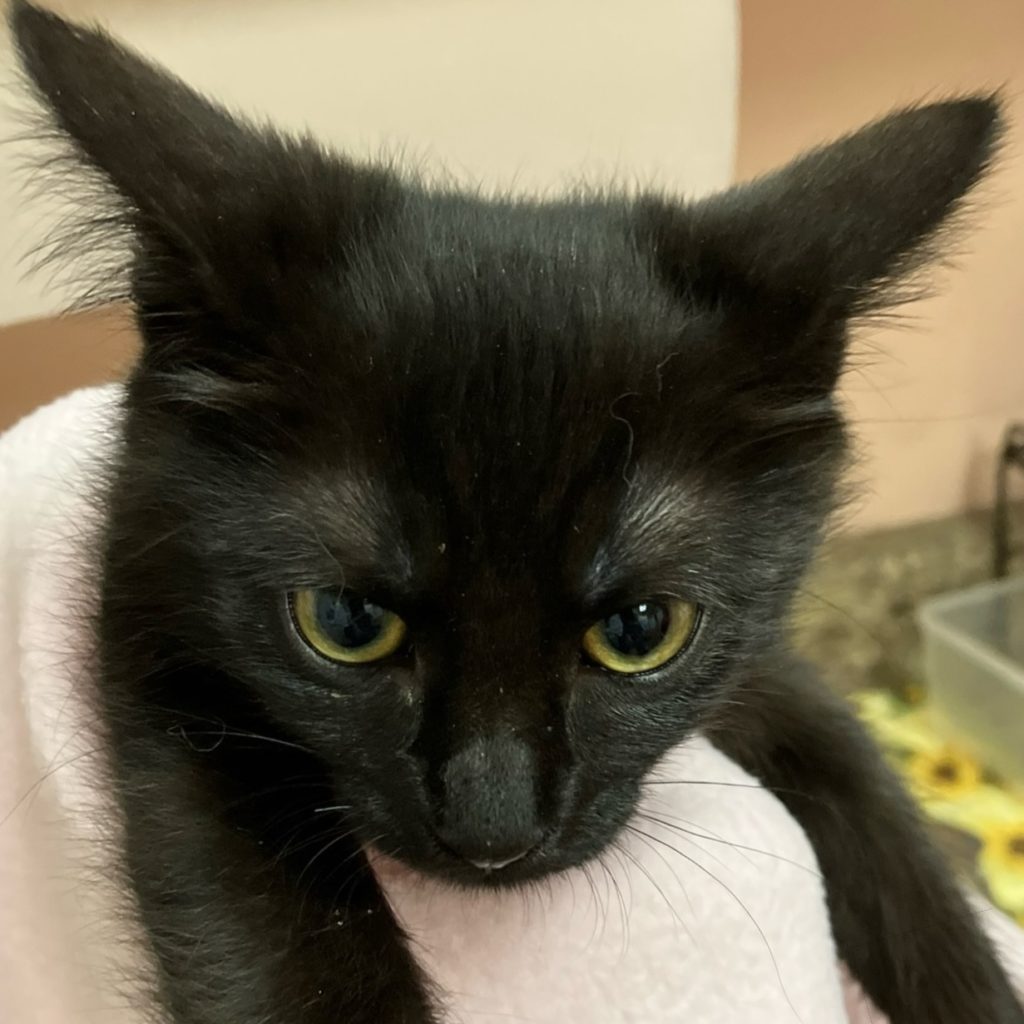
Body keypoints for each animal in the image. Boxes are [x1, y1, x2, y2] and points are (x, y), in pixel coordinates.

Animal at [9, 2, 1024, 1022]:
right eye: (345, 621)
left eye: (642, 628)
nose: (493, 831)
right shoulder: (151, 621)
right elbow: (274, 913)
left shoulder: (764, 664)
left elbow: (868, 792)